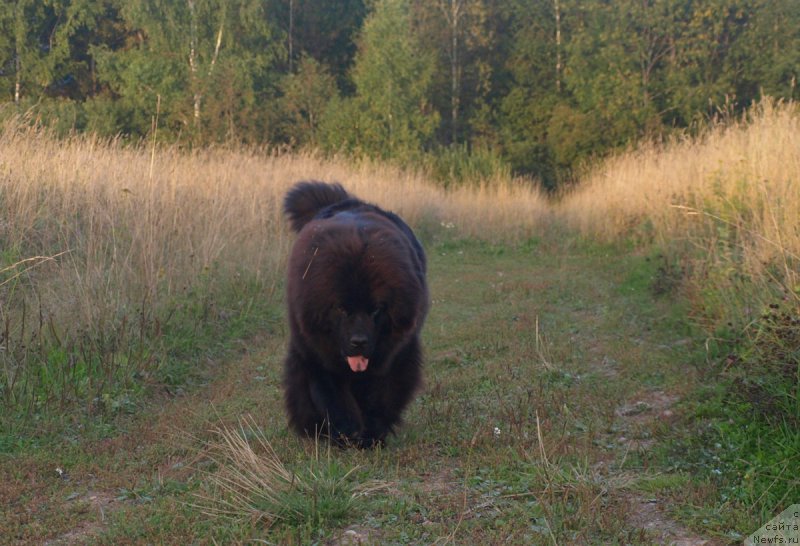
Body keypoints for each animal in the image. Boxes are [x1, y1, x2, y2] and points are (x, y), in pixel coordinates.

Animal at [282, 181, 428, 444]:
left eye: (376, 310)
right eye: (341, 308)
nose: (358, 341)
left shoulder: (395, 355)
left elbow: (381, 396)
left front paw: (371, 433)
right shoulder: (317, 352)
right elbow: (331, 395)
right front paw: (347, 429)